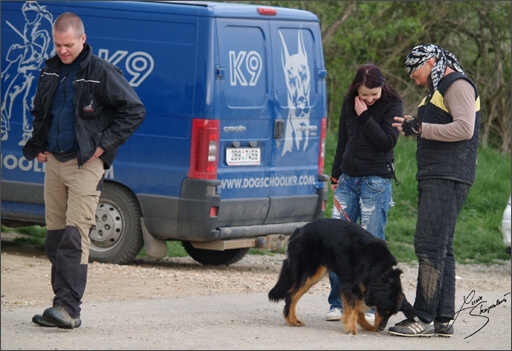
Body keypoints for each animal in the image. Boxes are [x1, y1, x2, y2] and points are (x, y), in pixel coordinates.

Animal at [268, 219, 416, 336]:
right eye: (385, 310)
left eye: (392, 314)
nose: (381, 328)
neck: (379, 267)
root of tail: (299, 229)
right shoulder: (350, 286)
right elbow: (353, 308)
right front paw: (351, 327)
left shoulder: (360, 288)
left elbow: (358, 309)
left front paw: (365, 325)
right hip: (310, 272)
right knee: (291, 295)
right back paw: (291, 320)